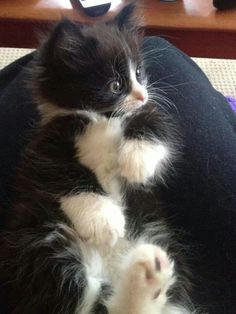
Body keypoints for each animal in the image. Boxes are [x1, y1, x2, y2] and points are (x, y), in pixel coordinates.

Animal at [0, 3, 202, 314]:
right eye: (115, 85)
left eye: (139, 73)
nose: (142, 94)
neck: (101, 119)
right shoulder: (43, 148)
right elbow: (63, 174)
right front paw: (103, 219)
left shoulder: (149, 115)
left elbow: (153, 122)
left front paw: (136, 162)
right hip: (40, 247)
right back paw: (147, 273)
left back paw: (150, 272)